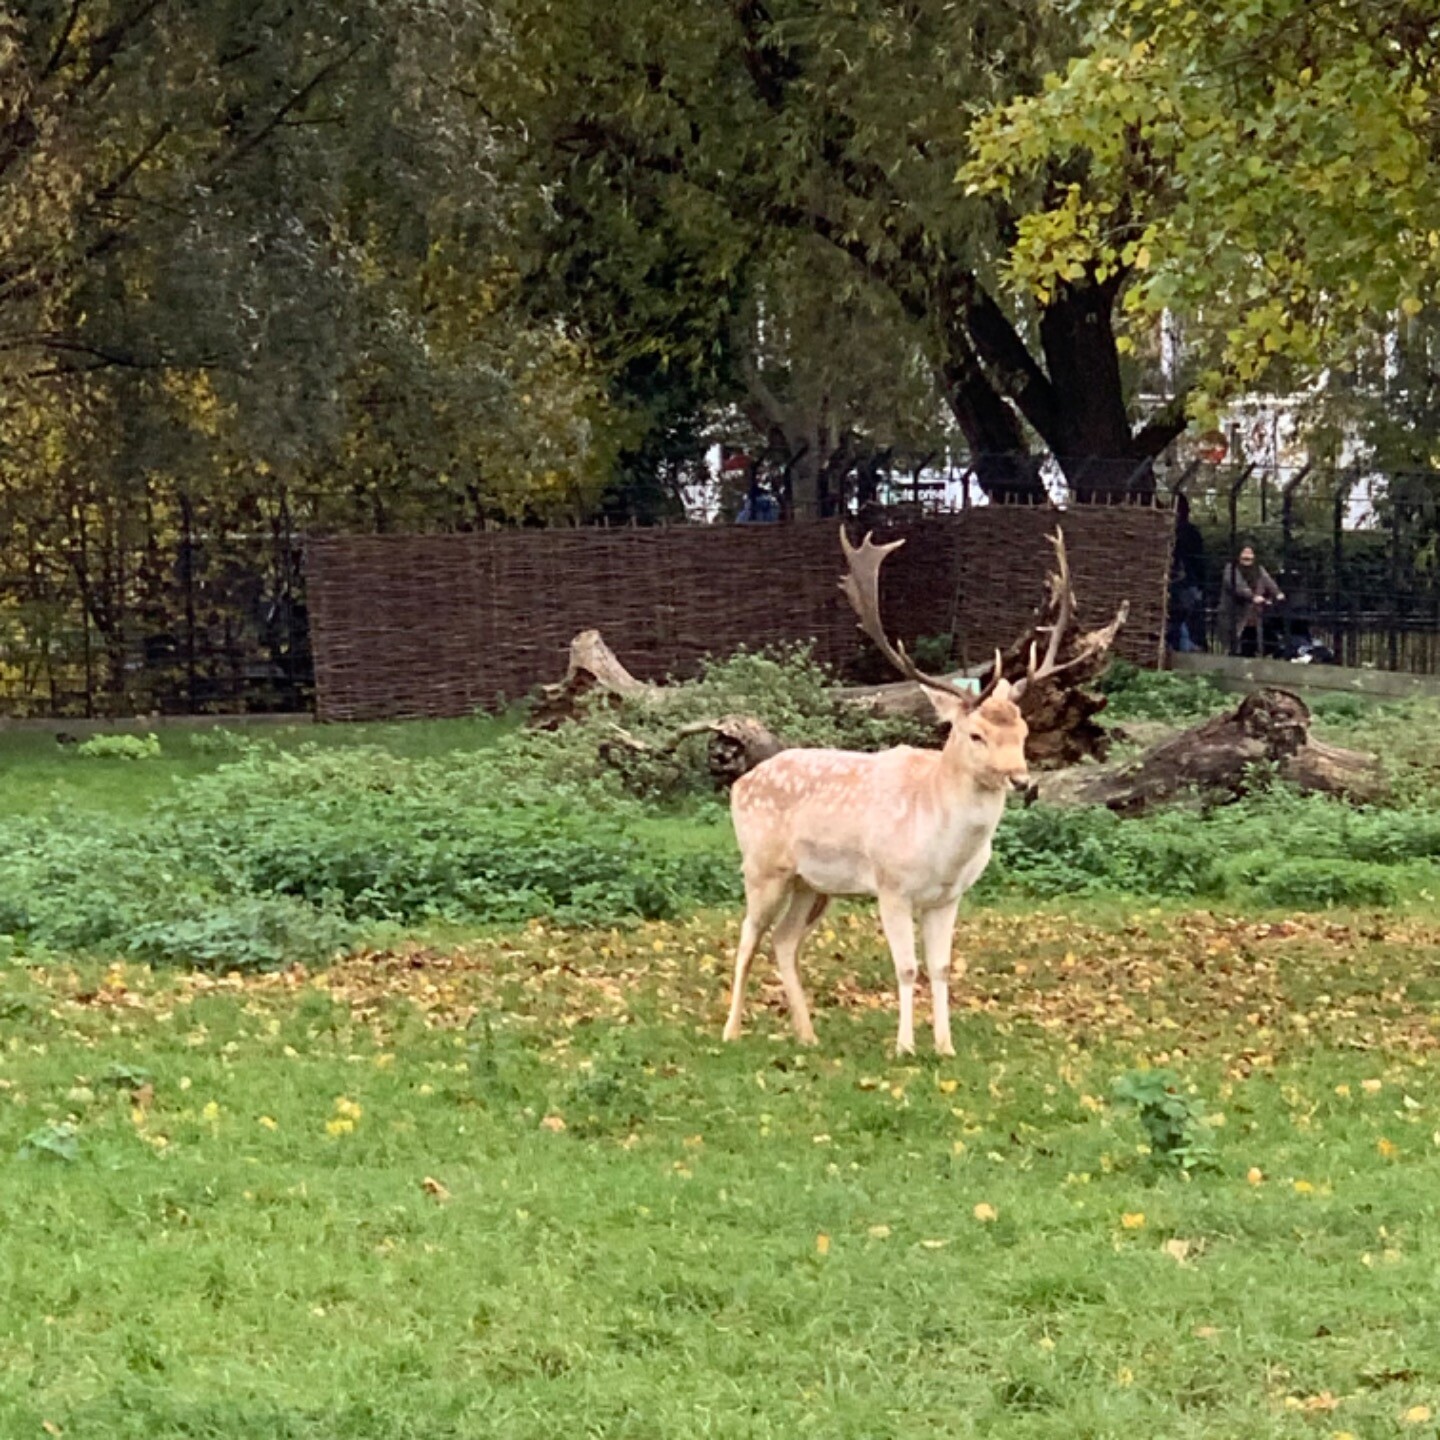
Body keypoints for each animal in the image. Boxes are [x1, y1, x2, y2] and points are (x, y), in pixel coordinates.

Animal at [723, 525, 1115, 1057]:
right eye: (975, 734)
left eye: (1023, 730)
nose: (1022, 779)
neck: (941, 849)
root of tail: (740, 782)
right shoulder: (892, 886)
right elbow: (907, 968)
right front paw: (905, 1047)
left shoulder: (949, 897)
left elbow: (941, 968)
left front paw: (946, 1047)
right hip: (762, 867)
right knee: (747, 937)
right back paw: (731, 1031)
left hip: (813, 884)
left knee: (784, 941)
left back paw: (808, 1036)